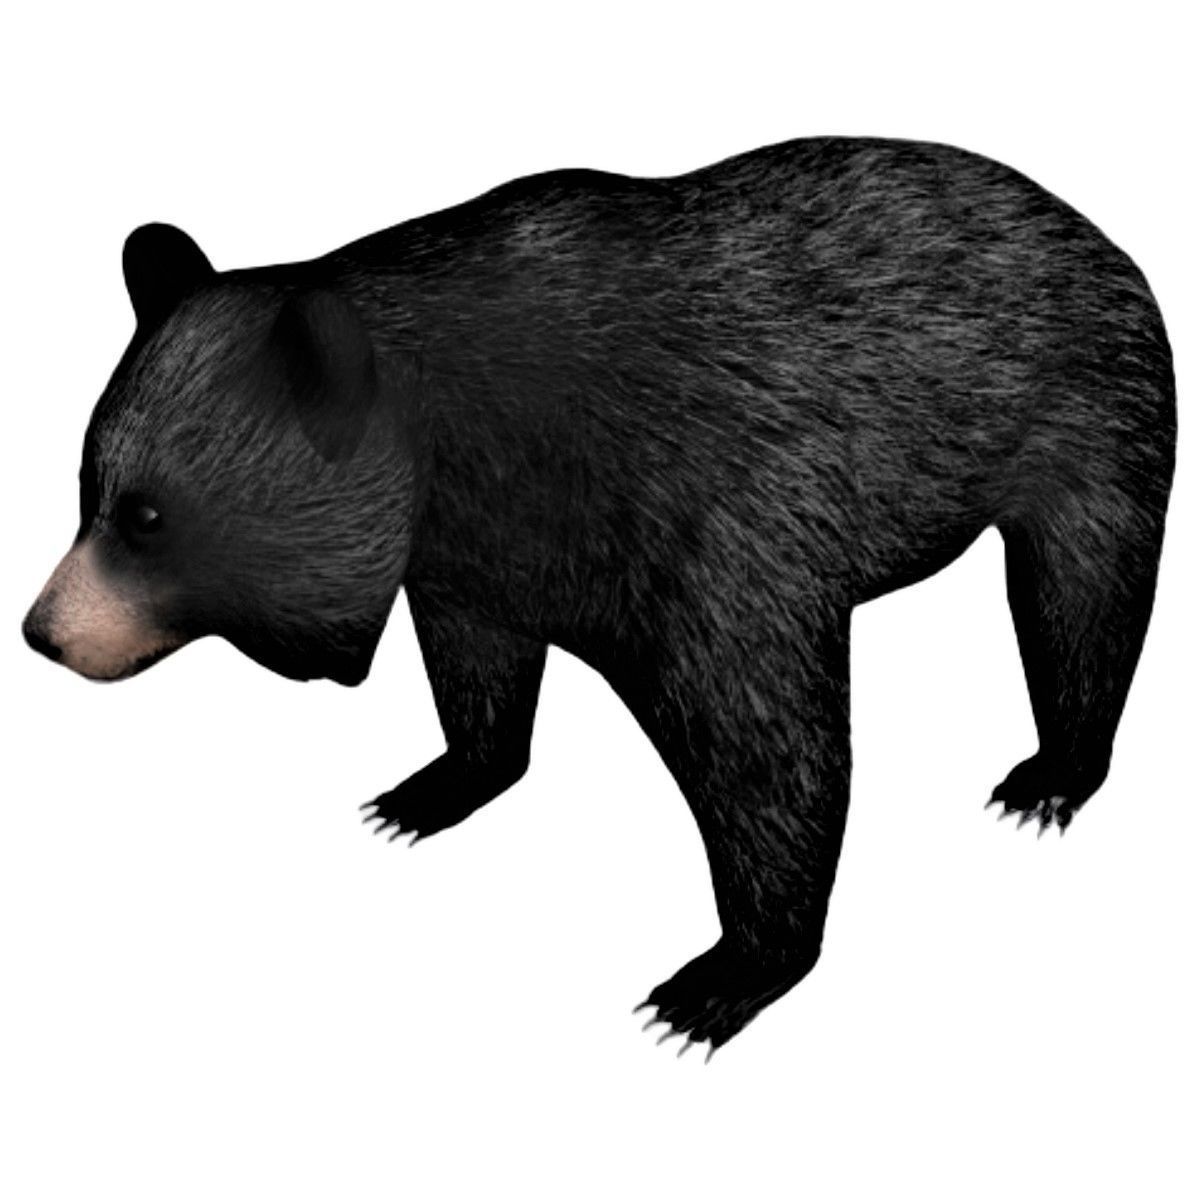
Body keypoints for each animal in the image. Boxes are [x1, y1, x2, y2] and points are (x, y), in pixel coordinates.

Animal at [23, 137, 1176, 1058]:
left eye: (146, 516)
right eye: (87, 486)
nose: (44, 632)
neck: (464, 445)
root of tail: (1085, 223)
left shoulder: (697, 514)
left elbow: (766, 743)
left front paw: (722, 976)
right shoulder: (479, 554)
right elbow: (478, 665)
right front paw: (433, 787)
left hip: (1091, 410)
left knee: (1083, 590)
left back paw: (1053, 771)